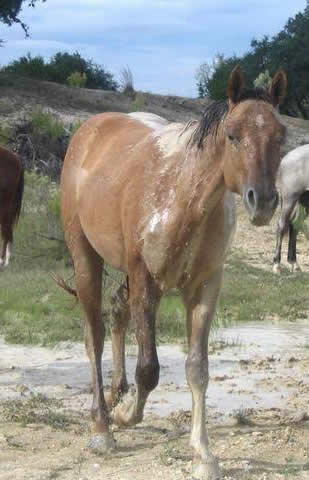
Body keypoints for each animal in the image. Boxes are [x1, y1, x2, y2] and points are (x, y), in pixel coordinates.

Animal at [60, 65, 286, 478]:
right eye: (233, 135)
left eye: (280, 136)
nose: (261, 201)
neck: (179, 196)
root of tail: (89, 131)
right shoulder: (146, 282)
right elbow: (149, 369)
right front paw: (125, 414)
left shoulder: (204, 288)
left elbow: (197, 368)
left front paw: (203, 453)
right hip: (85, 258)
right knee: (94, 334)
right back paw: (102, 425)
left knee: (115, 315)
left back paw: (115, 395)